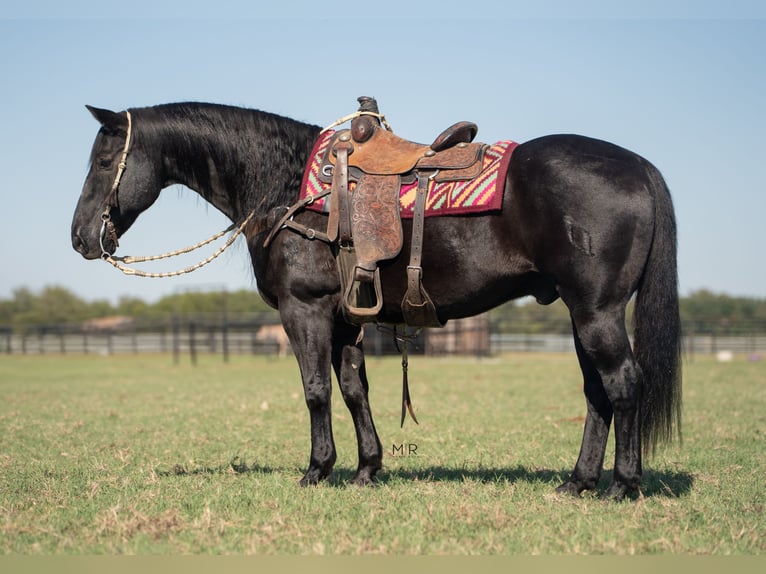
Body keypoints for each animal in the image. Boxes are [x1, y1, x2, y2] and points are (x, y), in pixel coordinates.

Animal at [71, 101, 681, 500]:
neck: (288, 187)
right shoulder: (344, 319)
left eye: (102, 163)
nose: (80, 237)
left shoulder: (304, 310)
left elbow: (315, 391)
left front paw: (317, 470)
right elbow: (353, 390)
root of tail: (638, 166)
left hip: (597, 311)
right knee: (597, 392)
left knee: (623, 383)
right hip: (582, 313)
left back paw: (623, 485)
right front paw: (367, 468)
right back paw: (578, 481)